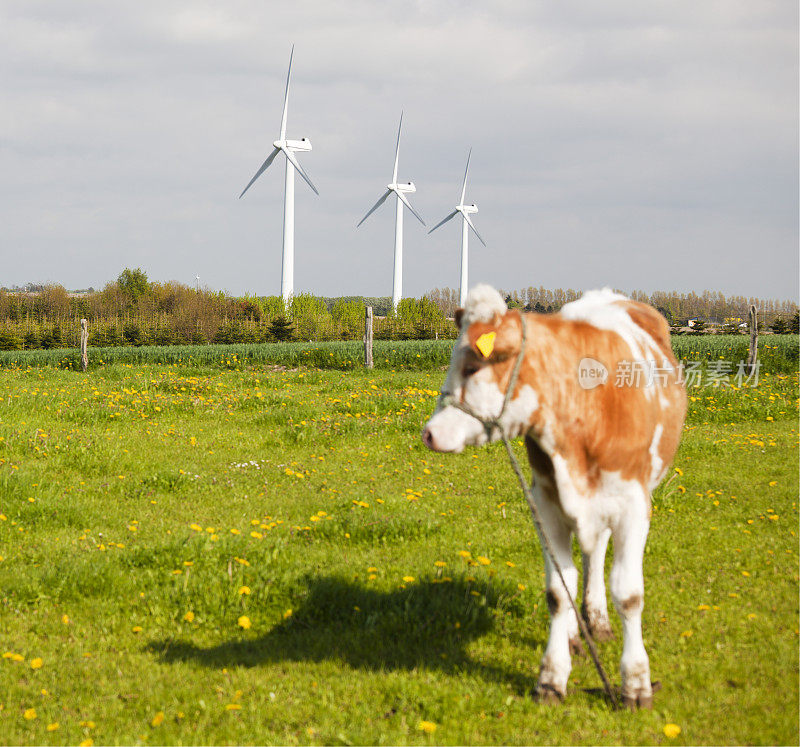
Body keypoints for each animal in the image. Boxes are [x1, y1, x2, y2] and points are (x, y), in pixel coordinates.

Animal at [418, 284, 688, 712]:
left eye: (473, 368)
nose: (429, 433)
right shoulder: (547, 505)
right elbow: (558, 592)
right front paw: (552, 677)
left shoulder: (633, 506)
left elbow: (629, 595)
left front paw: (635, 683)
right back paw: (579, 631)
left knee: (597, 556)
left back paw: (598, 621)